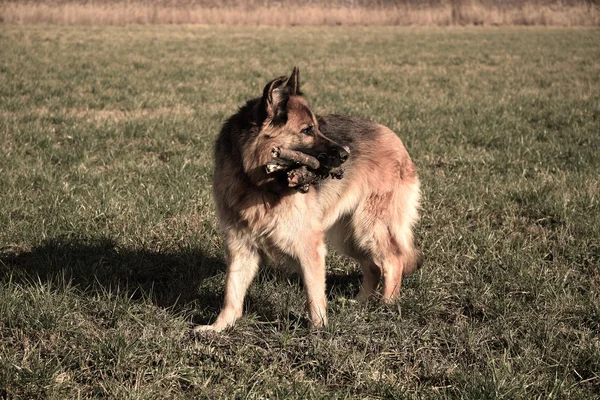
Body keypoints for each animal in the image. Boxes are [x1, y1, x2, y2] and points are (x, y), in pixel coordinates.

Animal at [195, 68, 420, 332]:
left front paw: (319, 329)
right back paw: (360, 302)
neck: (259, 184)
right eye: (307, 130)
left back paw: (387, 304)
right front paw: (219, 327)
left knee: (393, 259)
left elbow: (313, 293)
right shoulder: (241, 246)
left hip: (369, 226)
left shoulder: (309, 246)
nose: (345, 154)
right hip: (348, 234)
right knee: (373, 266)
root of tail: (393, 137)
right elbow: (232, 291)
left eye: (317, 127)